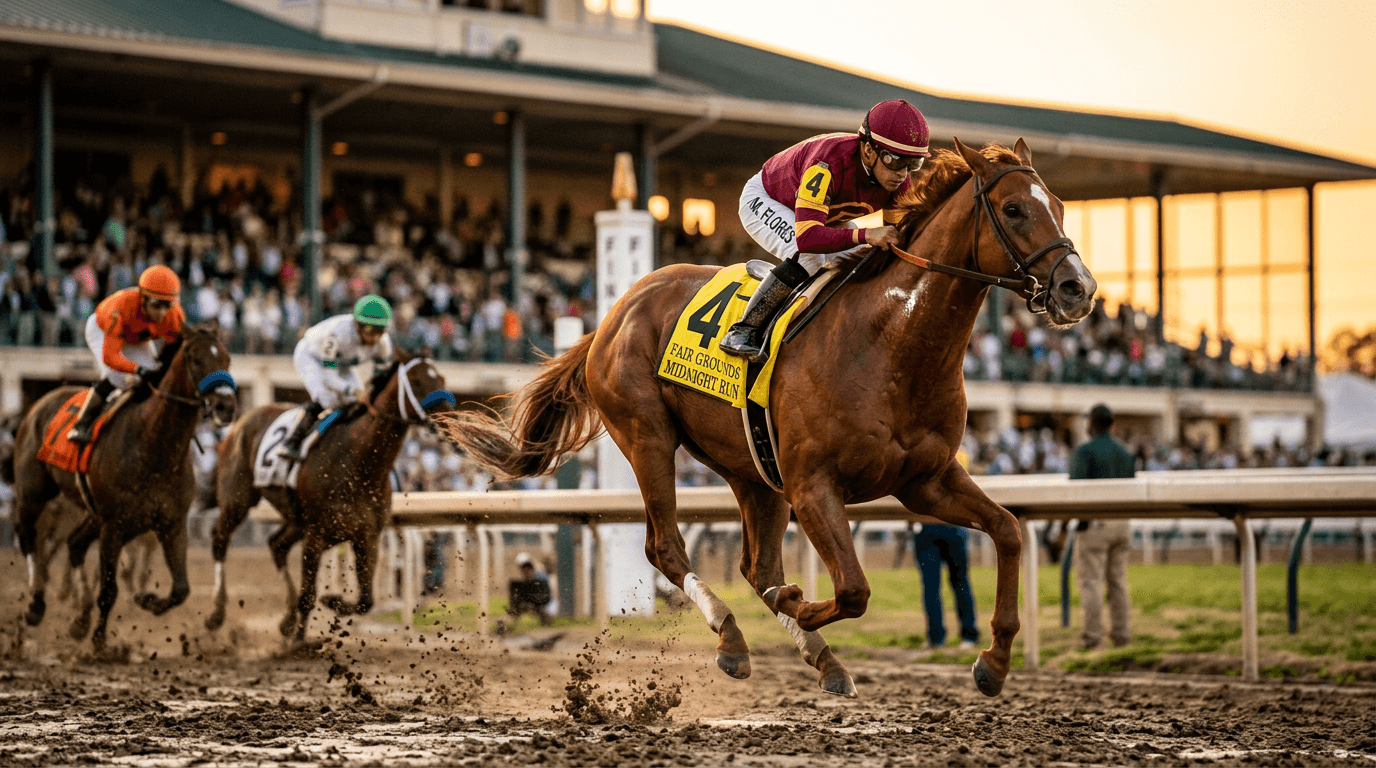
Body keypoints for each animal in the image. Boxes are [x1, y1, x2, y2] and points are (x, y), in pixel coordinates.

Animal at [9, 324, 237, 651]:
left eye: (227, 358)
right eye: (195, 358)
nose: (225, 407)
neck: (153, 446)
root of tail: (38, 404)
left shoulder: (171, 523)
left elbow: (181, 589)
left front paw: (147, 599)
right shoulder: (114, 526)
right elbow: (108, 590)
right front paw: (100, 644)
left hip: (95, 513)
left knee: (75, 544)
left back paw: (80, 617)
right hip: (34, 493)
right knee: (28, 535)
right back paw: (36, 605)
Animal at [205, 348, 456, 640]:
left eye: (441, 378)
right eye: (416, 382)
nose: (449, 421)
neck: (358, 463)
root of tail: (244, 418)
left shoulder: (367, 535)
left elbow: (366, 600)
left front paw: (331, 602)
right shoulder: (317, 534)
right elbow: (308, 596)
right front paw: (299, 642)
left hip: (296, 518)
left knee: (277, 545)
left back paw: (286, 619)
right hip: (238, 499)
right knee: (220, 538)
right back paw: (216, 613)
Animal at [436, 139, 1097, 698]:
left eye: (1062, 208)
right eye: (1013, 209)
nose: (1078, 289)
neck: (893, 344)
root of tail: (615, 311)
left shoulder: (924, 481)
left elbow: (1008, 530)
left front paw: (994, 661)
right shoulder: (813, 485)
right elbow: (853, 588)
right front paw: (800, 602)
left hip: (752, 469)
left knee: (756, 565)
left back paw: (823, 659)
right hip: (648, 435)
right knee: (666, 547)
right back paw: (732, 638)